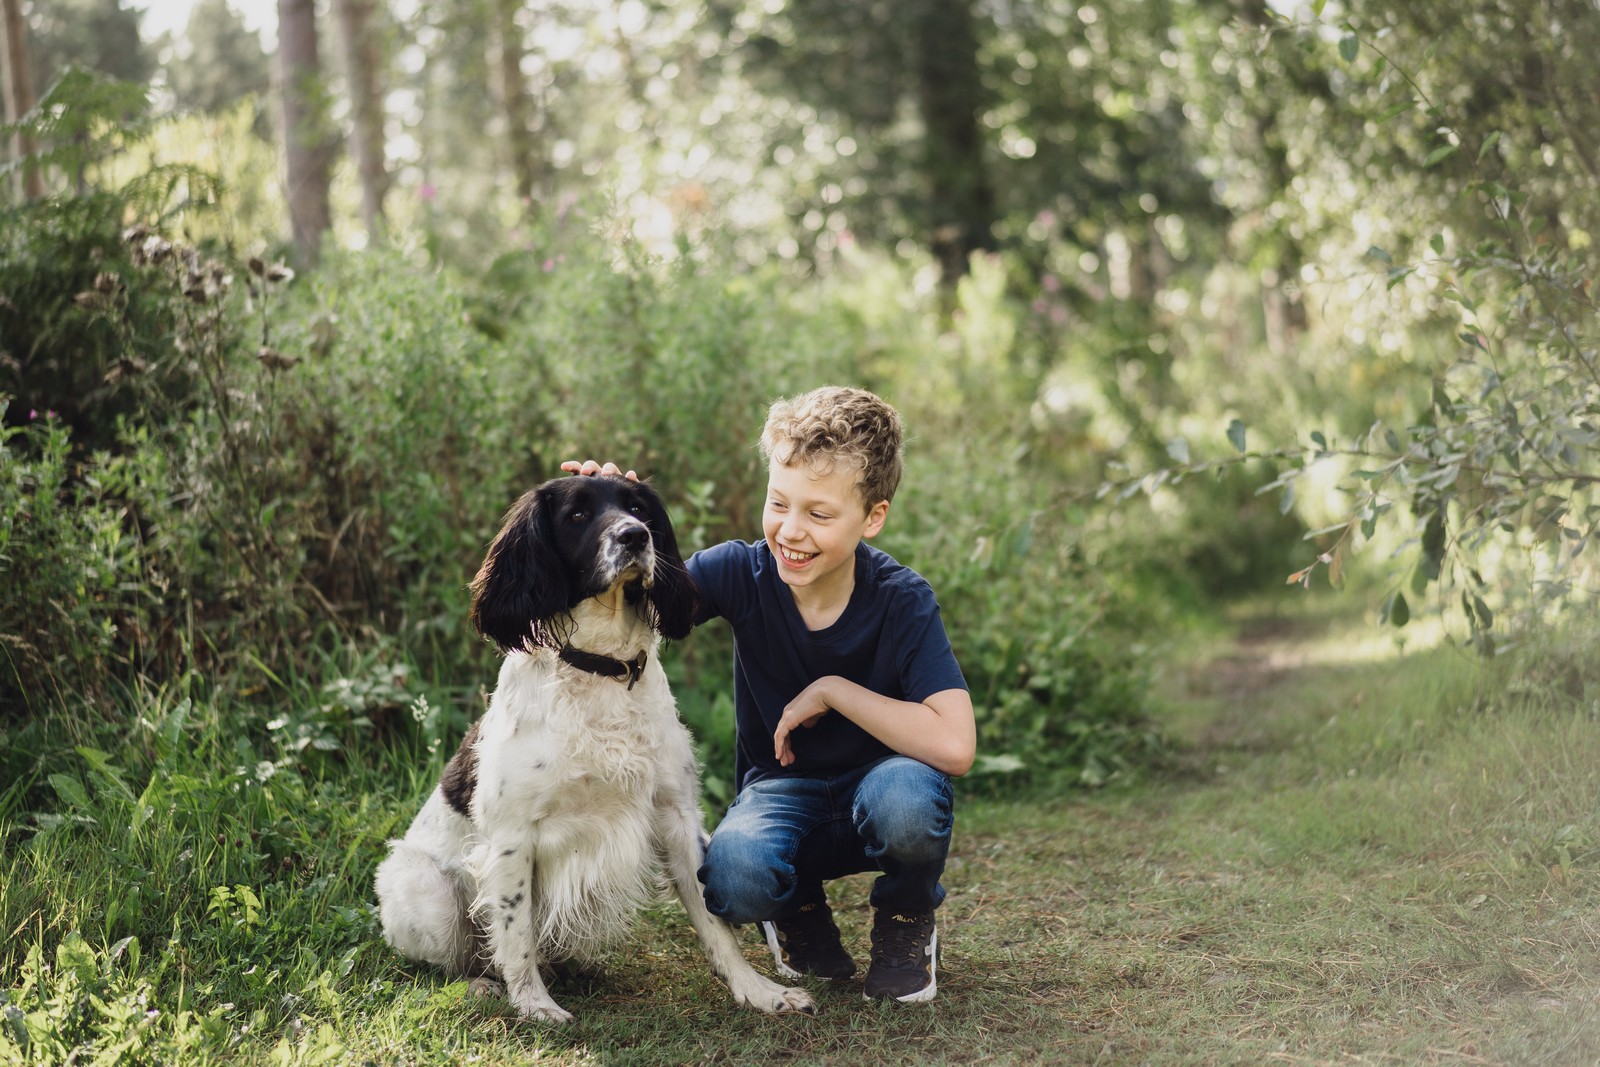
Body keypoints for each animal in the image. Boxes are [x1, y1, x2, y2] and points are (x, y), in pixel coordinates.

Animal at [374, 476, 812, 1023]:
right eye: (578, 515)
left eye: (638, 508)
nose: (635, 537)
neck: (602, 666)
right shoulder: (512, 838)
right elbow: (515, 932)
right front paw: (535, 1006)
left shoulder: (676, 815)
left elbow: (715, 924)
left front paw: (757, 990)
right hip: (426, 890)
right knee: (463, 959)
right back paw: (484, 985)